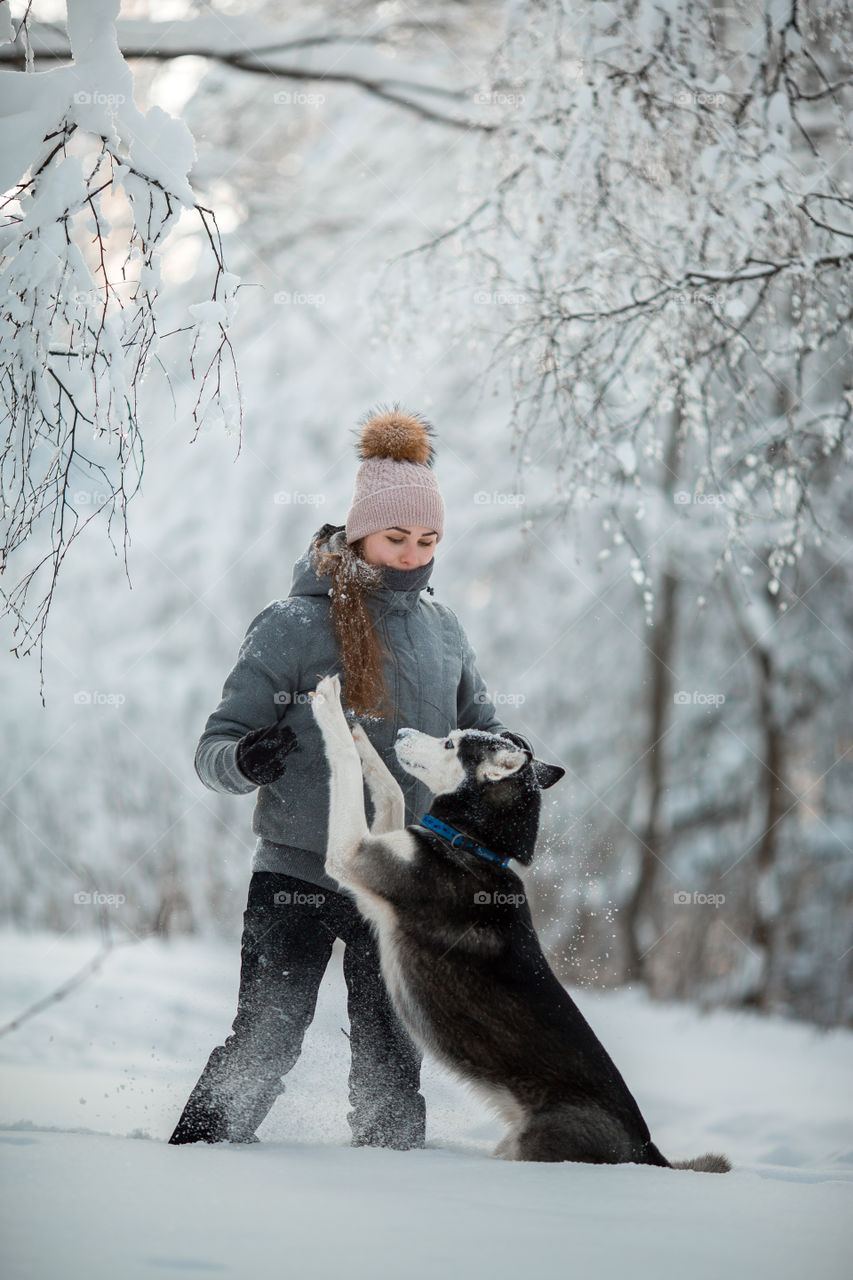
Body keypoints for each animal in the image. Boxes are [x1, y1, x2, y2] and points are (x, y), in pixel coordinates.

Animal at [308, 675, 727, 1172]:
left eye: (450, 743)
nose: (403, 733)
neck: (472, 843)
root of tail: (647, 1150)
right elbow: (392, 790)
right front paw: (363, 742)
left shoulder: (354, 855)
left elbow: (345, 772)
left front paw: (331, 709)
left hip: (532, 1144)